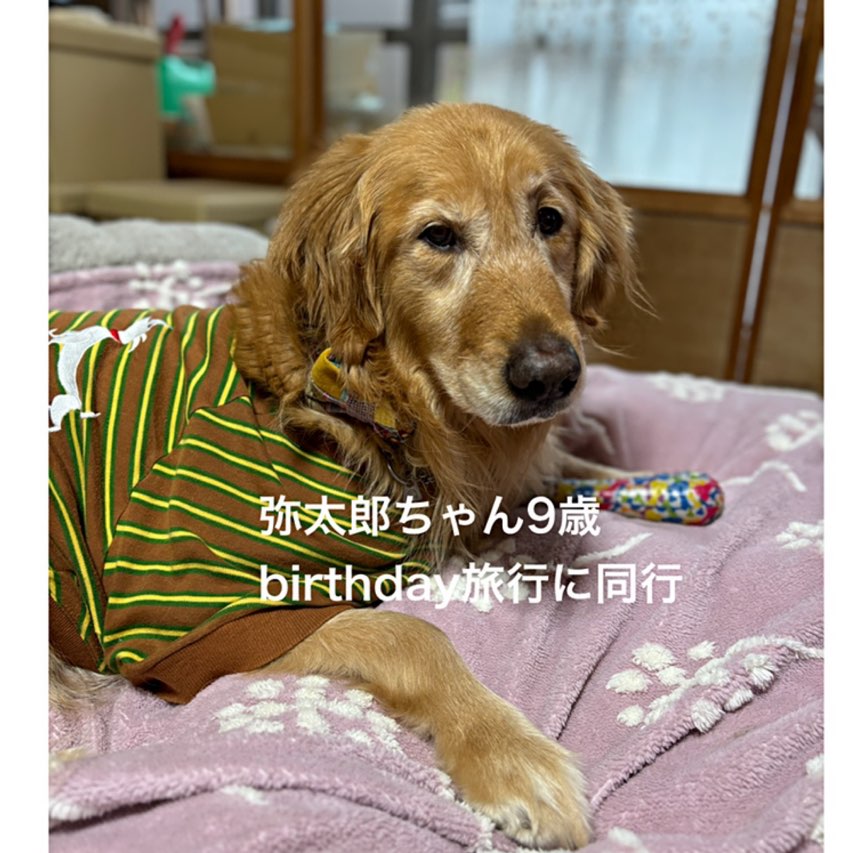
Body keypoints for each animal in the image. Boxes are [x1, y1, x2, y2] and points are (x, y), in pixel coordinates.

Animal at [49, 103, 640, 850]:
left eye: (550, 220)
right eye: (438, 236)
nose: (551, 377)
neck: (369, 405)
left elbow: (569, 468)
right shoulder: (186, 610)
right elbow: (413, 634)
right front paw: (512, 755)